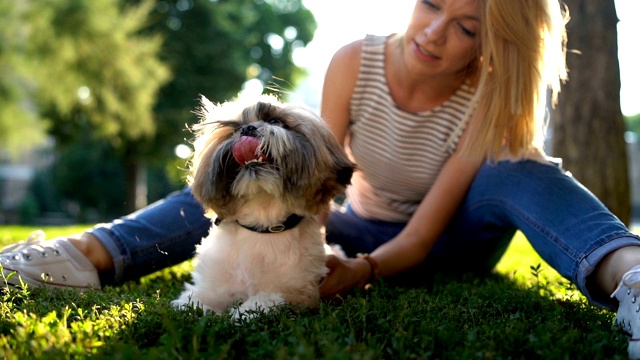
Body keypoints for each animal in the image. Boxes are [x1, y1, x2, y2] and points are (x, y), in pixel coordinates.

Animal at [171, 94, 356, 316]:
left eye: (274, 121)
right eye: (236, 129)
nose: (248, 129)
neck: (262, 226)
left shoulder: (296, 291)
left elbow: (263, 301)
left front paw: (240, 314)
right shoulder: (213, 286)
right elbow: (193, 303)